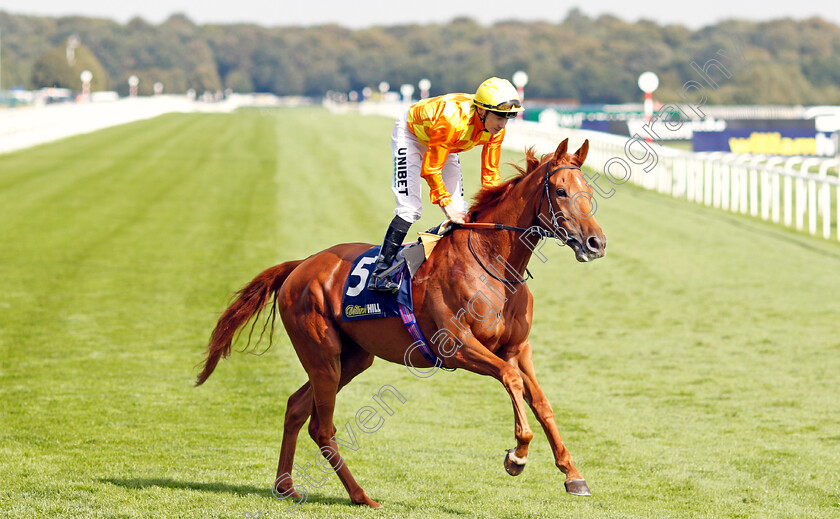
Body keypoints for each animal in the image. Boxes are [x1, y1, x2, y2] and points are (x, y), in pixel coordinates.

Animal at [195, 138, 604, 508]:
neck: (493, 264)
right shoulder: (457, 347)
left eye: (587, 190)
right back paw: (361, 496)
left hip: (353, 358)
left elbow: (541, 402)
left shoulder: (518, 348)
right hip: (322, 354)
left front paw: (573, 474)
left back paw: (287, 487)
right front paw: (517, 455)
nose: (596, 242)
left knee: (297, 407)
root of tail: (301, 265)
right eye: (561, 191)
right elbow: (511, 379)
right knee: (321, 427)